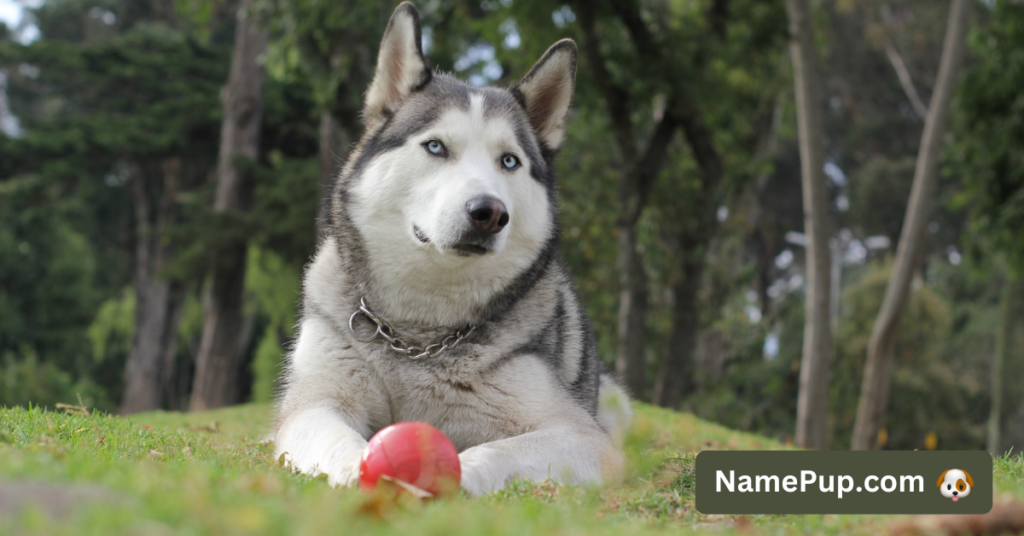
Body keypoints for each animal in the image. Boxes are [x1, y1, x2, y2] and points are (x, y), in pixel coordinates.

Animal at [278, 2, 630, 498]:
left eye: (509, 161)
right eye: (436, 146)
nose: (489, 212)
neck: (418, 338)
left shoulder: (584, 437)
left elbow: (497, 452)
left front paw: (448, 477)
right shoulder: (313, 404)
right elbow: (336, 438)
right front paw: (362, 472)